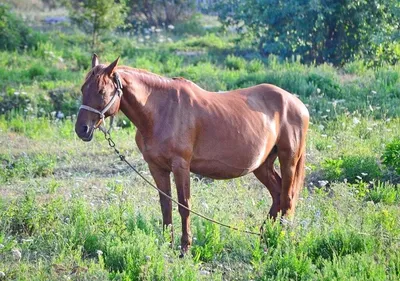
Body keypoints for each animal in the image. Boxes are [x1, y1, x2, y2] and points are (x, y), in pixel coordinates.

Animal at [76, 54, 310, 254]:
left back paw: (280, 240)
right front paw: (166, 243)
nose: (82, 129)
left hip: (289, 160)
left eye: (101, 91)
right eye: (83, 88)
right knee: (277, 194)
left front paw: (185, 247)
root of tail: (297, 103)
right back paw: (265, 237)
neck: (161, 110)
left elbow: (184, 205)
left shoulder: (181, 165)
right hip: (262, 165)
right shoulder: (157, 167)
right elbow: (166, 205)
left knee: (287, 199)